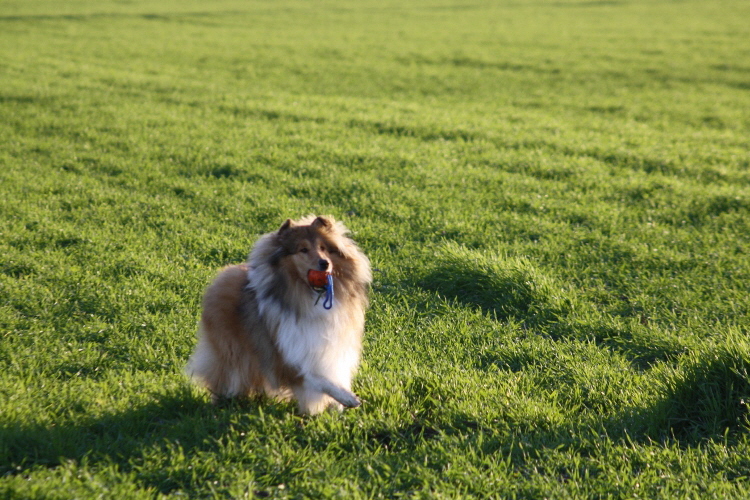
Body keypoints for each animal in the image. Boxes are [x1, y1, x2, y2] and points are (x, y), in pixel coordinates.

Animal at [186, 215, 371, 414]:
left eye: (323, 248)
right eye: (303, 250)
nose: (325, 263)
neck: (307, 296)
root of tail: (222, 275)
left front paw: (337, 407)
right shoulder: (282, 354)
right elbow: (312, 375)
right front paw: (346, 397)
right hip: (230, 349)